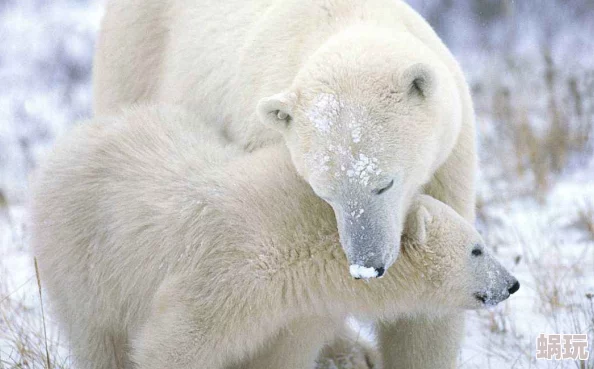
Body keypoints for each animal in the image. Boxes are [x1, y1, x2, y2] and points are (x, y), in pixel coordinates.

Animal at [30, 105, 516, 368]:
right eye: (477, 248)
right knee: (97, 335)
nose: (511, 284)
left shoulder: (296, 312)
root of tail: (66, 142)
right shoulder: (223, 276)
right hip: (83, 257)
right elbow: (172, 345)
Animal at [93, 1, 476, 366]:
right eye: (325, 193)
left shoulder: (448, 163)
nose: (367, 266)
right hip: (136, 61)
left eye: (384, 183)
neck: (349, 21)